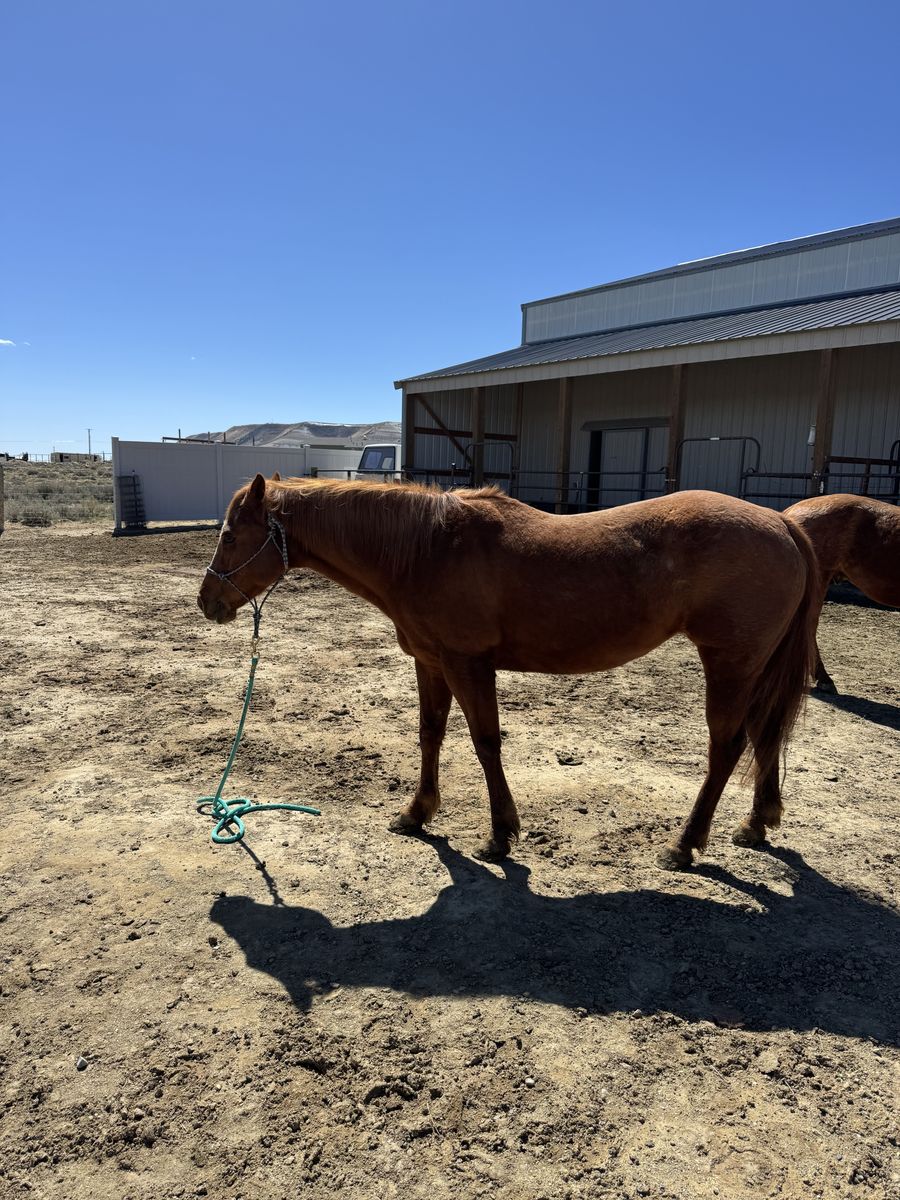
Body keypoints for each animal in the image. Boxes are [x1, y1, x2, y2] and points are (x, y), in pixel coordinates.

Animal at [198, 475, 819, 869]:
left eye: (229, 534)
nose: (208, 602)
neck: (428, 548)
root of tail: (781, 522)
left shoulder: (468, 663)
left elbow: (485, 742)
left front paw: (500, 834)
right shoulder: (431, 662)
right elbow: (431, 734)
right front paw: (416, 813)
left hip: (730, 663)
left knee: (728, 746)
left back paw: (685, 845)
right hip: (756, 666)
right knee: (765, 736)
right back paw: (756, 823)